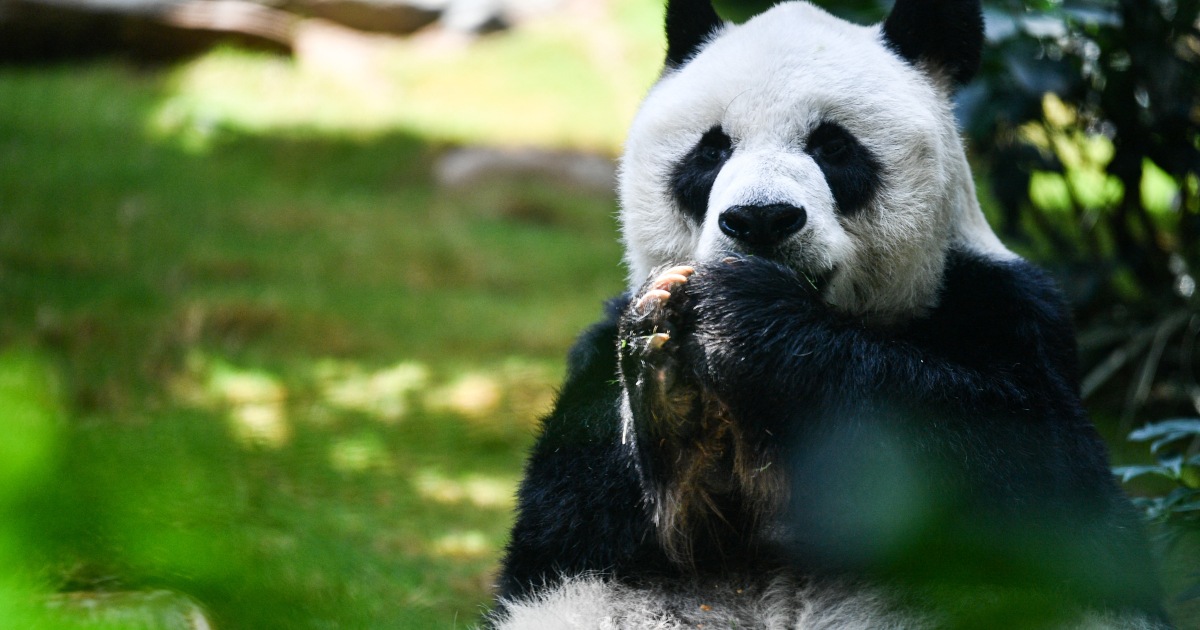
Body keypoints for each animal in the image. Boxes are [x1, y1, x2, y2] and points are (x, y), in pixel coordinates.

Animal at [482, 1, 1166, 624]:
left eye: (834, 146)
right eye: (711, 151)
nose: (760, 219)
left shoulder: (1008, 308)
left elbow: (1040, 477)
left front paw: (745, 317)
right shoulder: (597, 356)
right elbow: (564, 519)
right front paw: (671, 394)